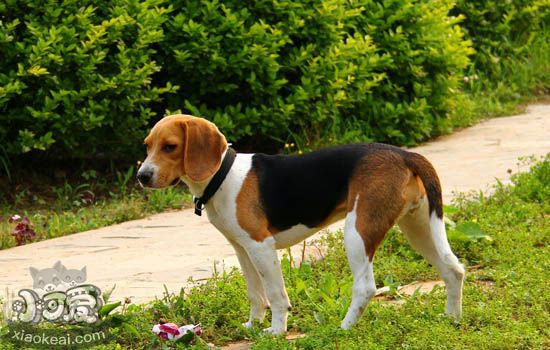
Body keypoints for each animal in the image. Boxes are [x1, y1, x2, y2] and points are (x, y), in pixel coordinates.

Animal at [138, 114, 466, 334]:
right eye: (148, 146)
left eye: (170, 147)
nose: (142, 176)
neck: (222, 175)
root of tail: (405, 154)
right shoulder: (242, 249)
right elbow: (254, 293)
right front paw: (252, 326)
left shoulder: (261, 247)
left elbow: (275, 294)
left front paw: (275, 331)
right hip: (418, 228)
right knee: (454, 270)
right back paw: (451, 318)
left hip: (358, 232)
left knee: (365, 287)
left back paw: (343, 328)